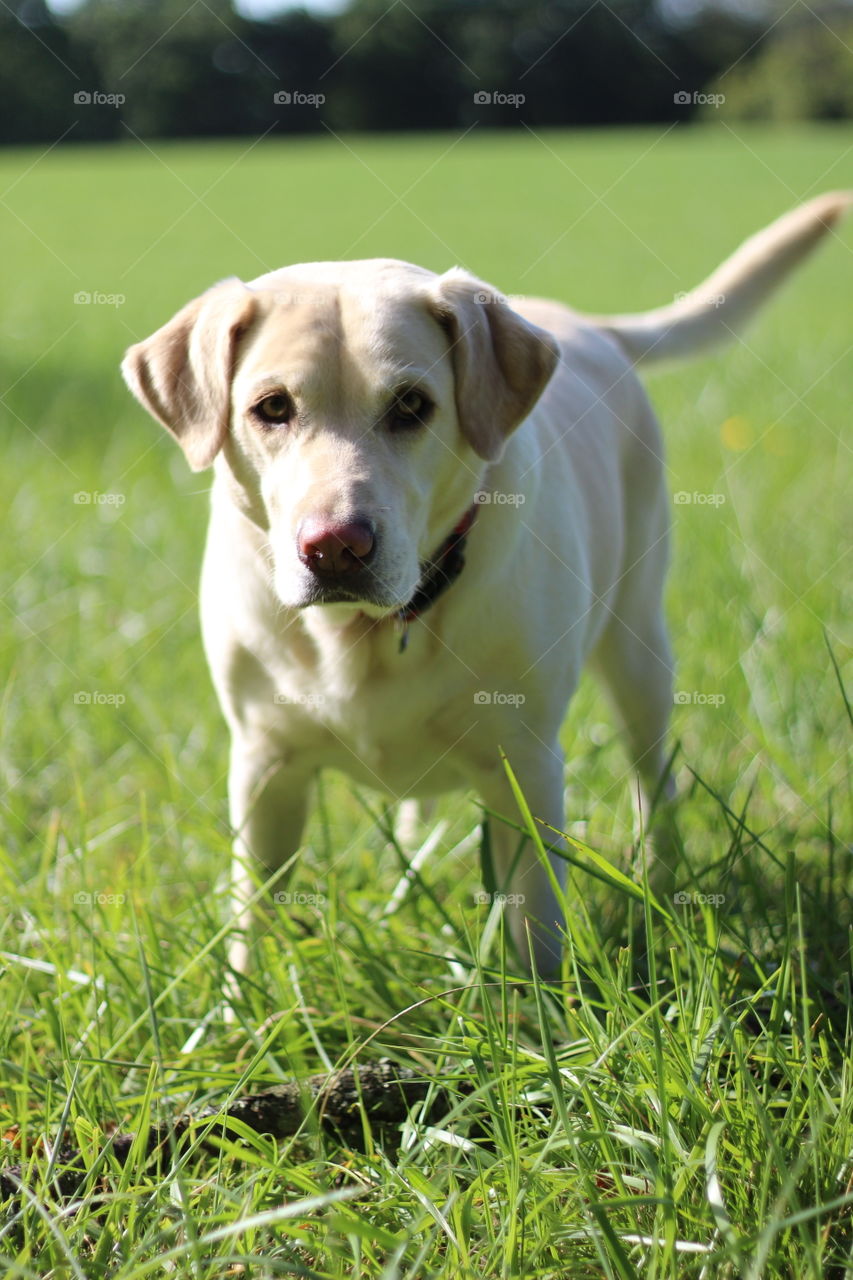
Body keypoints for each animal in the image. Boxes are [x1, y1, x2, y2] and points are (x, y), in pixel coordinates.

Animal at [122, 189, 845, 972]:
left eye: (411, 405)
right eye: (272, 407)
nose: (337, 547)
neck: (366, 636)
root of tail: (593, 328)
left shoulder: (525, 768)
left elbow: (537, 923)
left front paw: (545, 1006)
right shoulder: (265, 766)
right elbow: (254, 924)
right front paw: (245, 1002)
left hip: (639, 646)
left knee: (654, 776)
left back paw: (659, 881)